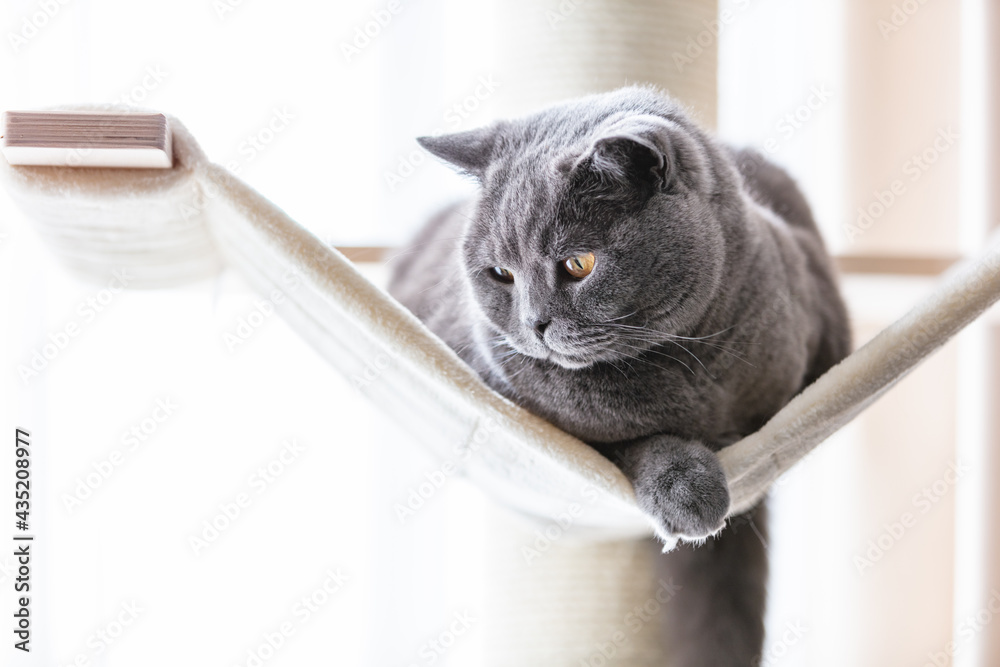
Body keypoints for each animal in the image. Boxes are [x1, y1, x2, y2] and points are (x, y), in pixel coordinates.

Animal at [390, 86, 852, 664]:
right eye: (500, 274)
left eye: (578, 264)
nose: (533, 324)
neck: (692, 368)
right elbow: (633, 441)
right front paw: (688, 488)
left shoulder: (823, 331)